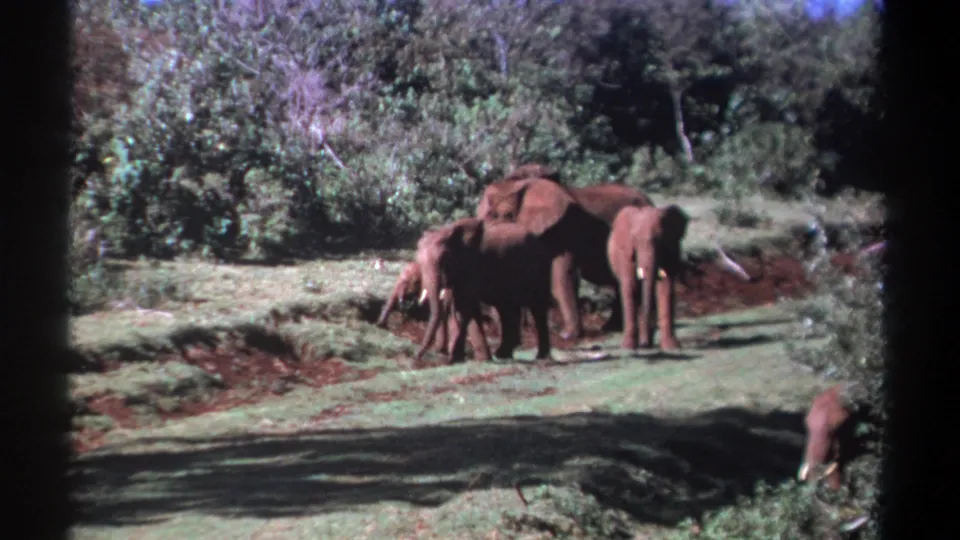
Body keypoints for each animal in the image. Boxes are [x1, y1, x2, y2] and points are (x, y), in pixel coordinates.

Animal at [414, 217, 553, 363]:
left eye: (443, 260)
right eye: (418, 261)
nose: (417, 357)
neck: (448, 231)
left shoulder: (473, 265)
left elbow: (464, 307)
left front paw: (457, 359)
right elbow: (462, 307)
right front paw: (468, 359)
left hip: (541, 268)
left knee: (538, 309)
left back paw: (541, 357)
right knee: (507, 309)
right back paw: (503, 355)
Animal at [607, 204, 690, 350]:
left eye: (660, 240)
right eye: (635, 240)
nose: (645, 344)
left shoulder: (672, 249)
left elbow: (665, 287)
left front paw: (672, 346)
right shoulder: (626, 254)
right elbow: (630, 287)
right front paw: (628, 347)